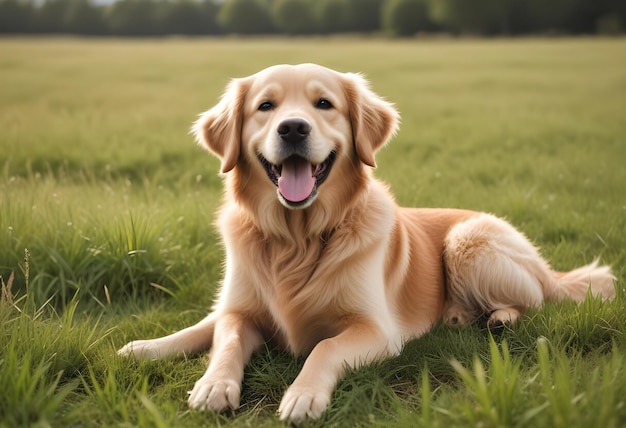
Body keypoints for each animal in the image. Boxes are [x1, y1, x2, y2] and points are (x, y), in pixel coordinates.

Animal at [118, 61, 616, 422]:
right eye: (265, 106)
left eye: (324, 103)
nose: (293, 128)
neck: (297, 239)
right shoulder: (239, 309)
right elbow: (217, 334)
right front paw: (197, 375)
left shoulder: (375, 329)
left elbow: (324, 347)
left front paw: (303, 395)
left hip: (468, 238)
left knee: (535, 298)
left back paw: (499, 318)